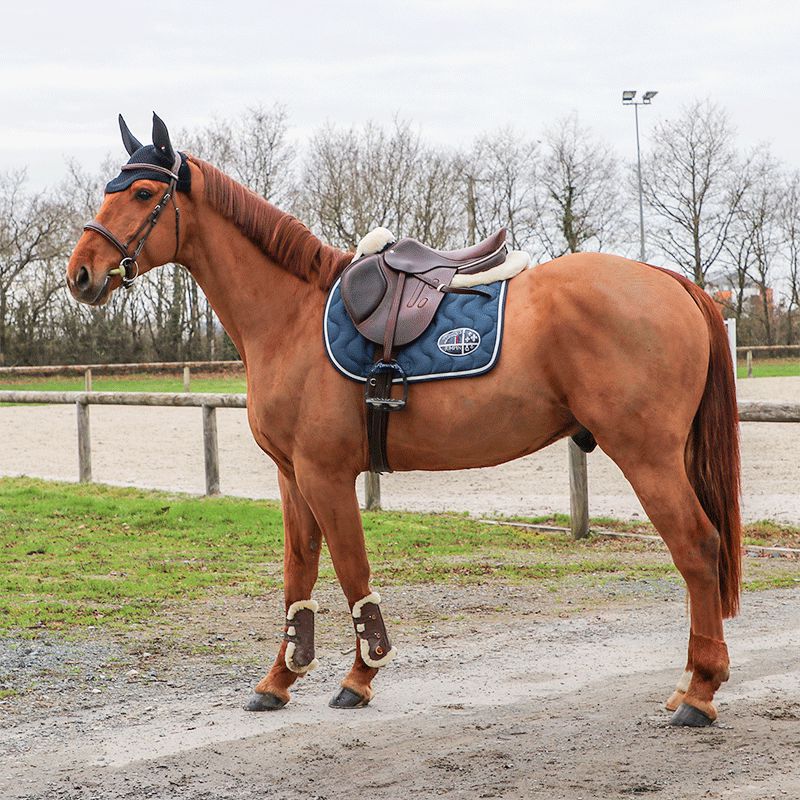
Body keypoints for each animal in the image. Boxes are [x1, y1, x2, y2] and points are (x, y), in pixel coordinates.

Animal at [65, 115, 740, 728]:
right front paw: (279, 679)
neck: (291, 316)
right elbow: (297, 575)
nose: (81, 273)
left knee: (697, 548)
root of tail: (672, 282)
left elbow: (350, 569)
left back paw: (699, 693)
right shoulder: (292, 477)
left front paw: (359, 677)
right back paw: (690, 685)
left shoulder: (327, 475)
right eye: (110, 188)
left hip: (646, 455)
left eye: (143, 193)